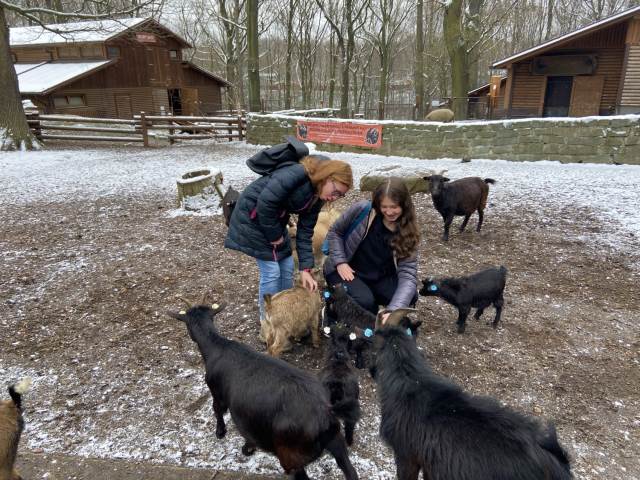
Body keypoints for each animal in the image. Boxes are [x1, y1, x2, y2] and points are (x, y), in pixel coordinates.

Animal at [169, 302, 360, 478]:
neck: (217, 346)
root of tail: (325, 412)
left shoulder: (216, 390)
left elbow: (218, 410)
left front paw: (221, 433)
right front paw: (248, 447)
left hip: (292, 456)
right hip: (337, 443)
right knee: (350, 470)